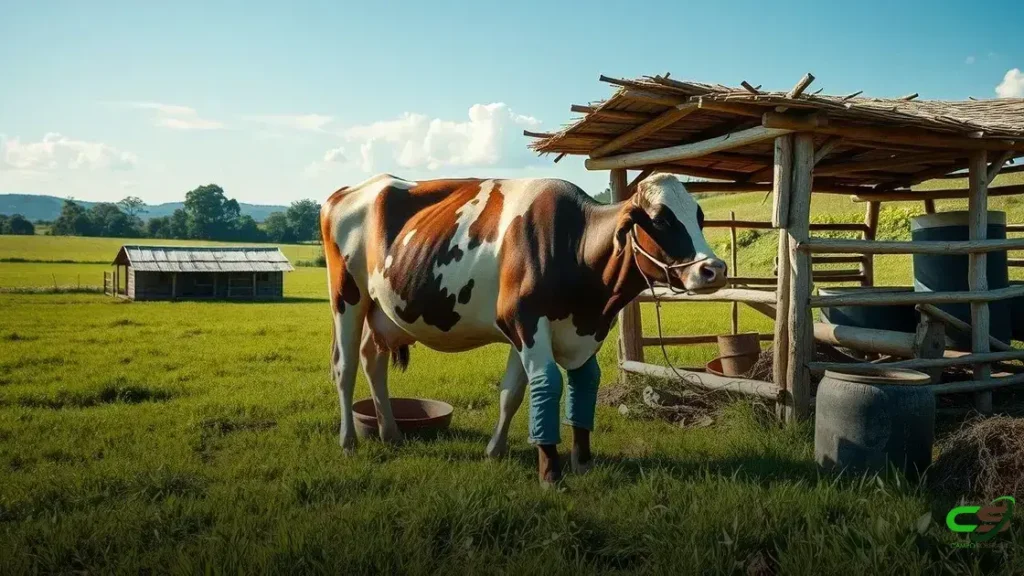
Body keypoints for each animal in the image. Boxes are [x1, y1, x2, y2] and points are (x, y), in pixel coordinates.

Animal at [320, 172, 727, 486]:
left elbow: (527, 391)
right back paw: (347, 442)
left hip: (381, 312)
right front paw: (550, 472)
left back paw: (391, 434)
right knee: (345, 367)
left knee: (373, 361)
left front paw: (562, 460)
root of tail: (348, 190)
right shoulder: (525, 320)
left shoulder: (562, 331)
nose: (714, 270)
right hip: (347, 299)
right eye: (660, 219)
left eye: (699, 216)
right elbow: (548, 383)